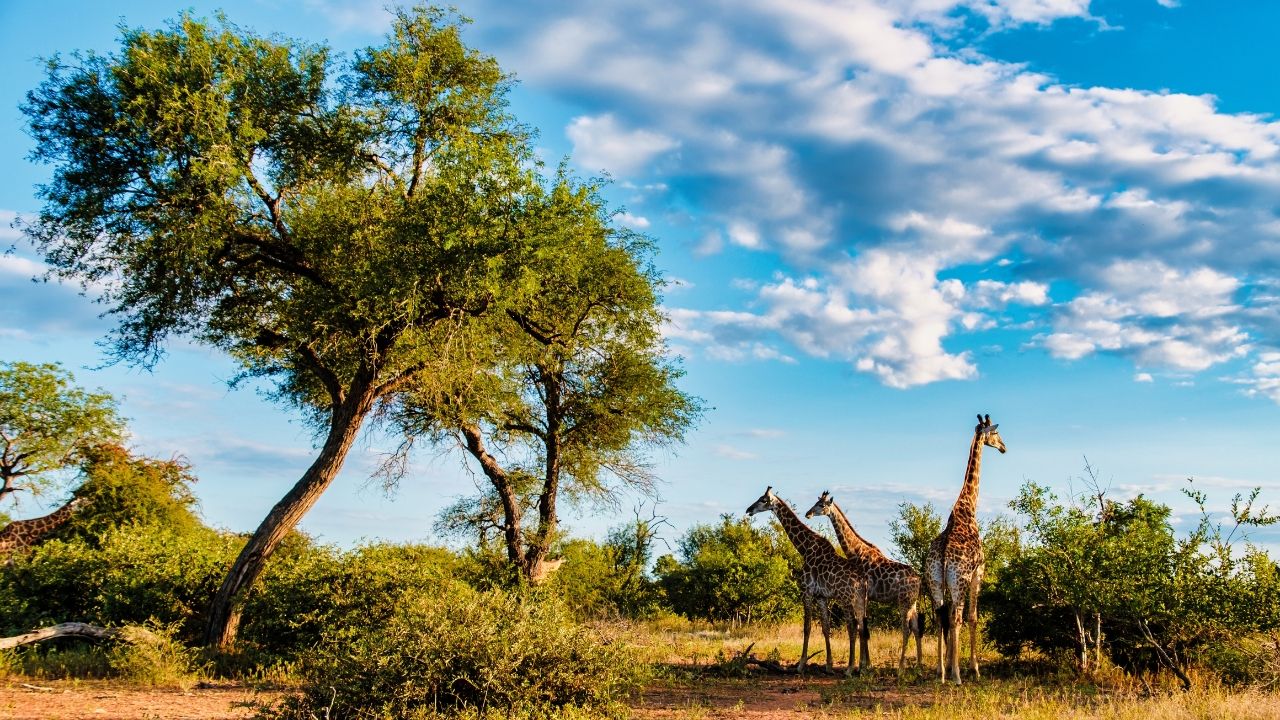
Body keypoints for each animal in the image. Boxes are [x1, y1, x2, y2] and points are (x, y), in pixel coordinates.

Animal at [746, 486, 868, 676]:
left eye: (763, 500)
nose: (748, 510)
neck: (804, 548)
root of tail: (862, 581)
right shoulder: (821, 596)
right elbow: (825, 628)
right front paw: (828, 666)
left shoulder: (806, 591)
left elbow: (807, 627)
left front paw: (801, 665)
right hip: (860, 600)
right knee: (862, 627)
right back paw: (861, 668)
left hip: (846, 599)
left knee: (852, 627)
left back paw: (849, 669)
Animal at [805, 491, 923, 671]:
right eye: (815, 502)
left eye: (821, 505)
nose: (808, 514)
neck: (856, 552)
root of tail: (919, 580)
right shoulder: (865, 596)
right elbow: (865, 628)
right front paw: (867, 664)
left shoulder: (864, 594)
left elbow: (863, 627)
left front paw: (863, 665)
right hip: (912, 602)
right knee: (916, 628)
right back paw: (918, 665)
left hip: (904, 601)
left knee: (906, 629)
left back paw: (901, 668)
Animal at [925, 414, 1006, 684]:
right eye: (995, 434)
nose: (1004, 447)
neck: (968, 508)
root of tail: (942, 557)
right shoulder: (978, 573)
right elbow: (973, 618)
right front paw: (974, 669)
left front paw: (949, 666)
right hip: (958, 581)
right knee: (956, 618)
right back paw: (958, 676)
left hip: (935, 582)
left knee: (941, 616)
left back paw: (941, 673)